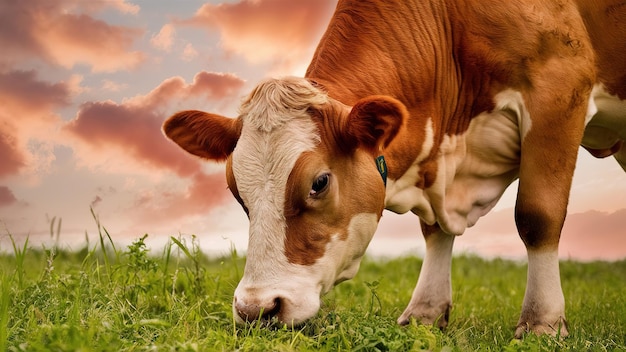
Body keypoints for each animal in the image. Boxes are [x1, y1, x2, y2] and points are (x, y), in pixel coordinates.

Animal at [162, 0, 624, 338]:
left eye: (319, 182)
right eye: (236, 191)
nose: (257, 308)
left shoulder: (559, 86)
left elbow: (536, 216)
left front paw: (542, 322)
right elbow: (433, 231)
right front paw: (425, 312)